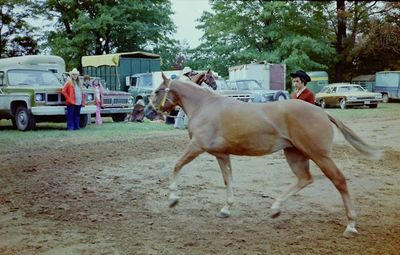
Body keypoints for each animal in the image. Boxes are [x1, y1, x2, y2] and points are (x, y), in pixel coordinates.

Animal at [150, 73, 382, 237]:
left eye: (158, 90)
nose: (151, 111)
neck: (206, 106)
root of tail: (322, 111)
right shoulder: (222, 154)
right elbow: (228, 180)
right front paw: (225, 209)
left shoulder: (196, 146)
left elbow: (177, 165)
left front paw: (173, 199)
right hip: (295, 154)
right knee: (305, 179)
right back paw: (275, 208)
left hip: (320, 156)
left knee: (339, 181)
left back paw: (351, 226)